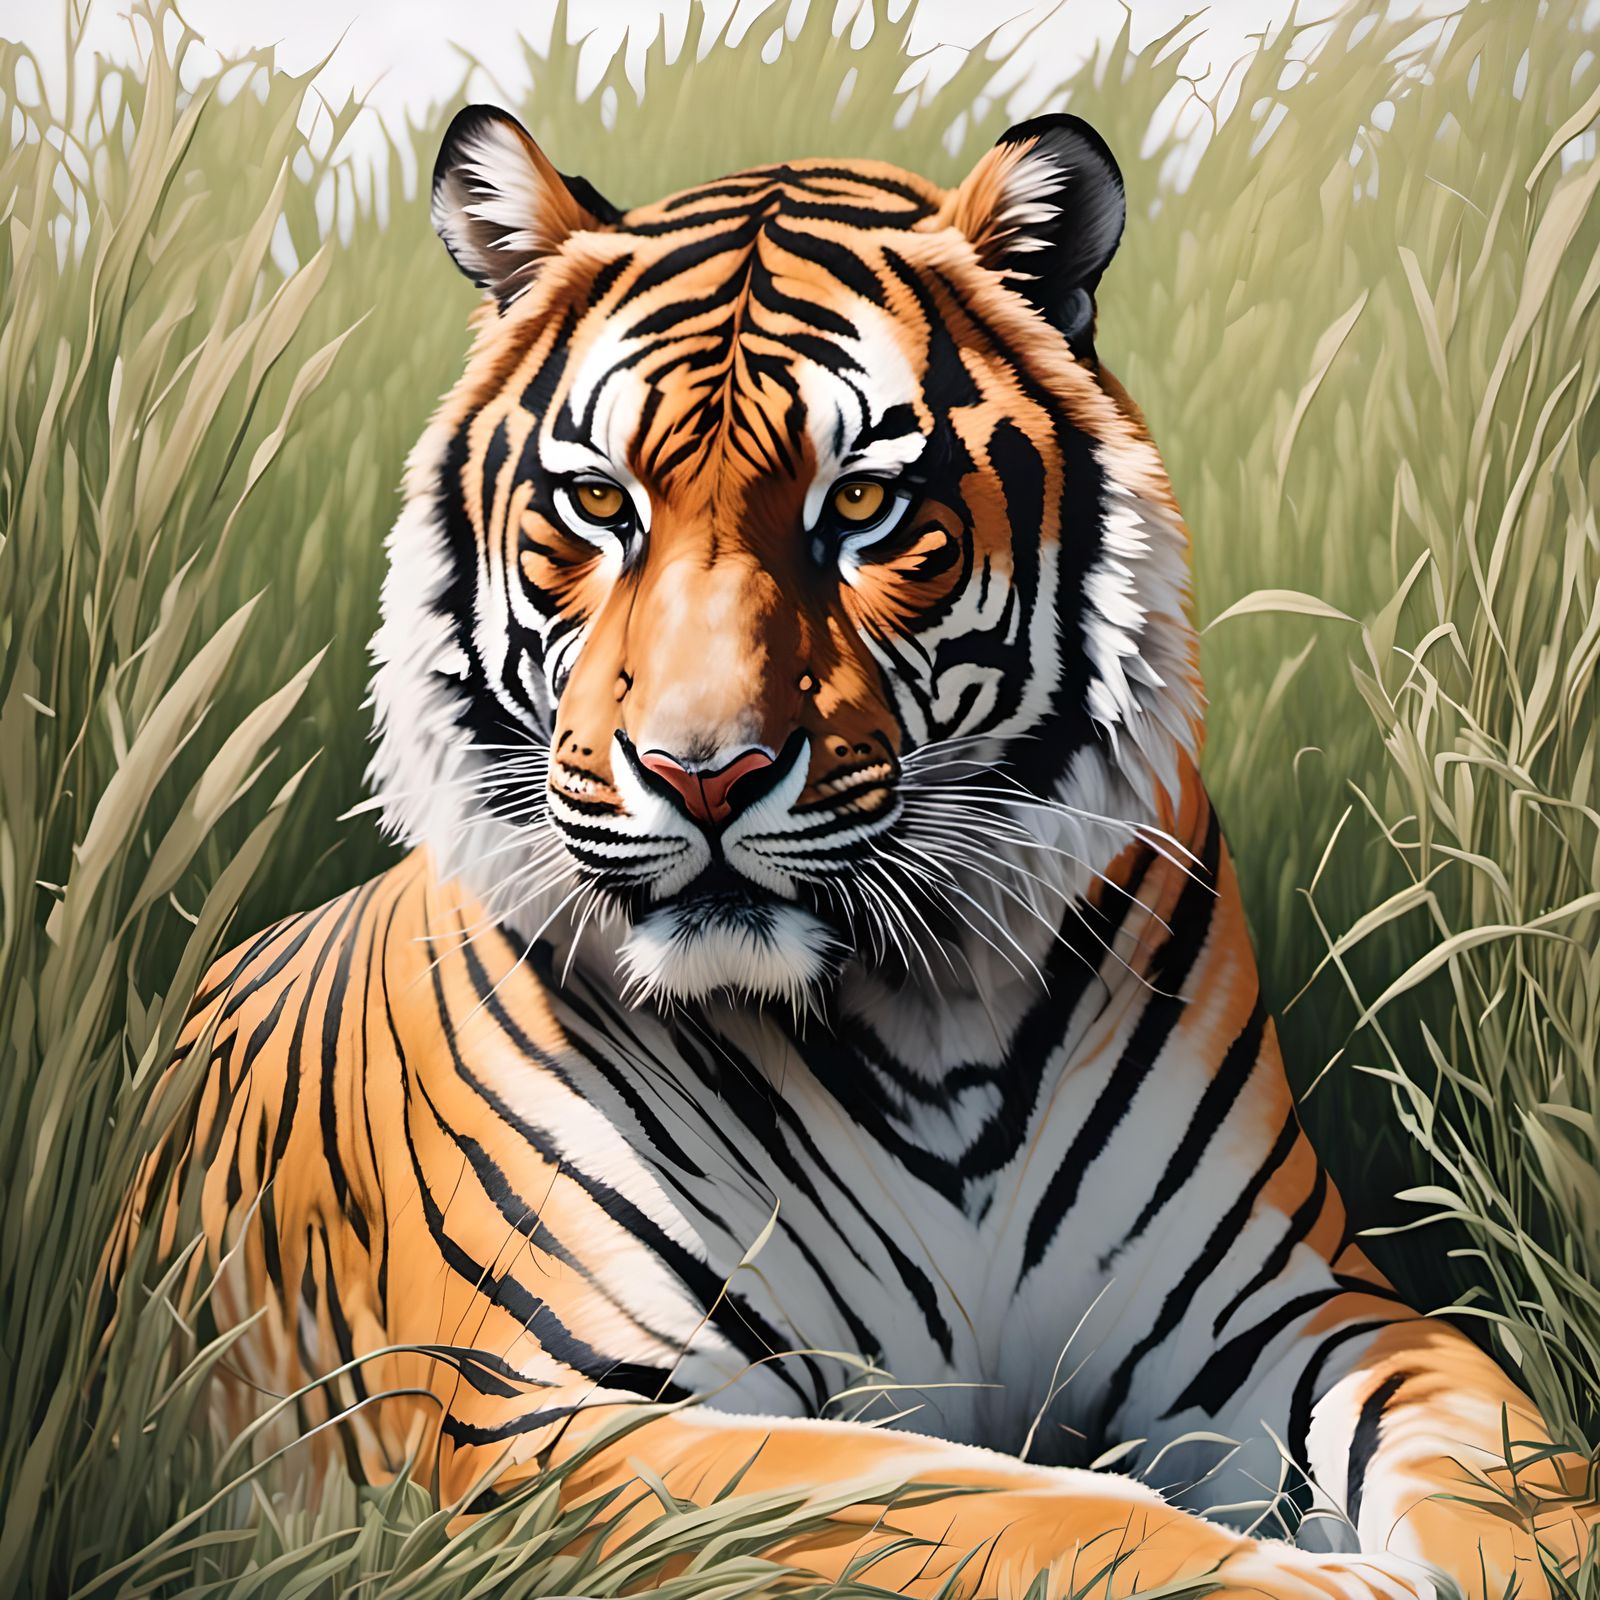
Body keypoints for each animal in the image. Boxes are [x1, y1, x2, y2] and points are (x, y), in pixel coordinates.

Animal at [114, 104, 1598, 1597]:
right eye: (598, 504)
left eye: (867, 502)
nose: (701, 773)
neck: (926, 1026)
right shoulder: (554, 1408)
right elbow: (1010, 1514)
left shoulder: (1290, 1308)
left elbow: (1502, 1466)